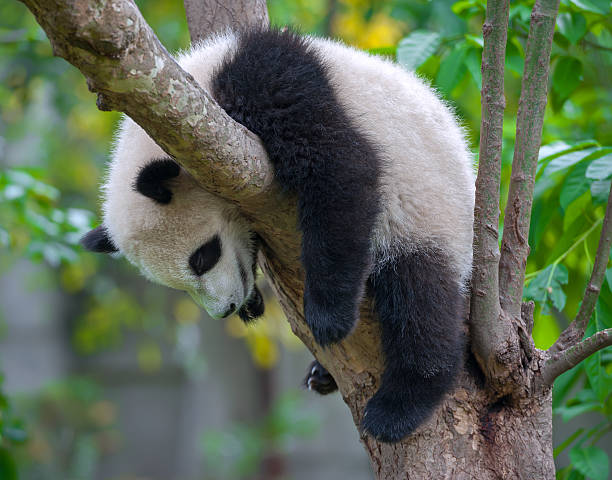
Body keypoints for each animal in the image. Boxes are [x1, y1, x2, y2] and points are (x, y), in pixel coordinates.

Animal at [80, 29, 474, 442]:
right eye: (178, 284)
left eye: (204, 256)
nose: (226, 309)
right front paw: (254, 301)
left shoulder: (269, 83)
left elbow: (341, 166)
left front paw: (328, 317)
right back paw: (322, 376)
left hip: (430, 215)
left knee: (420, 299)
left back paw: (399, 406)